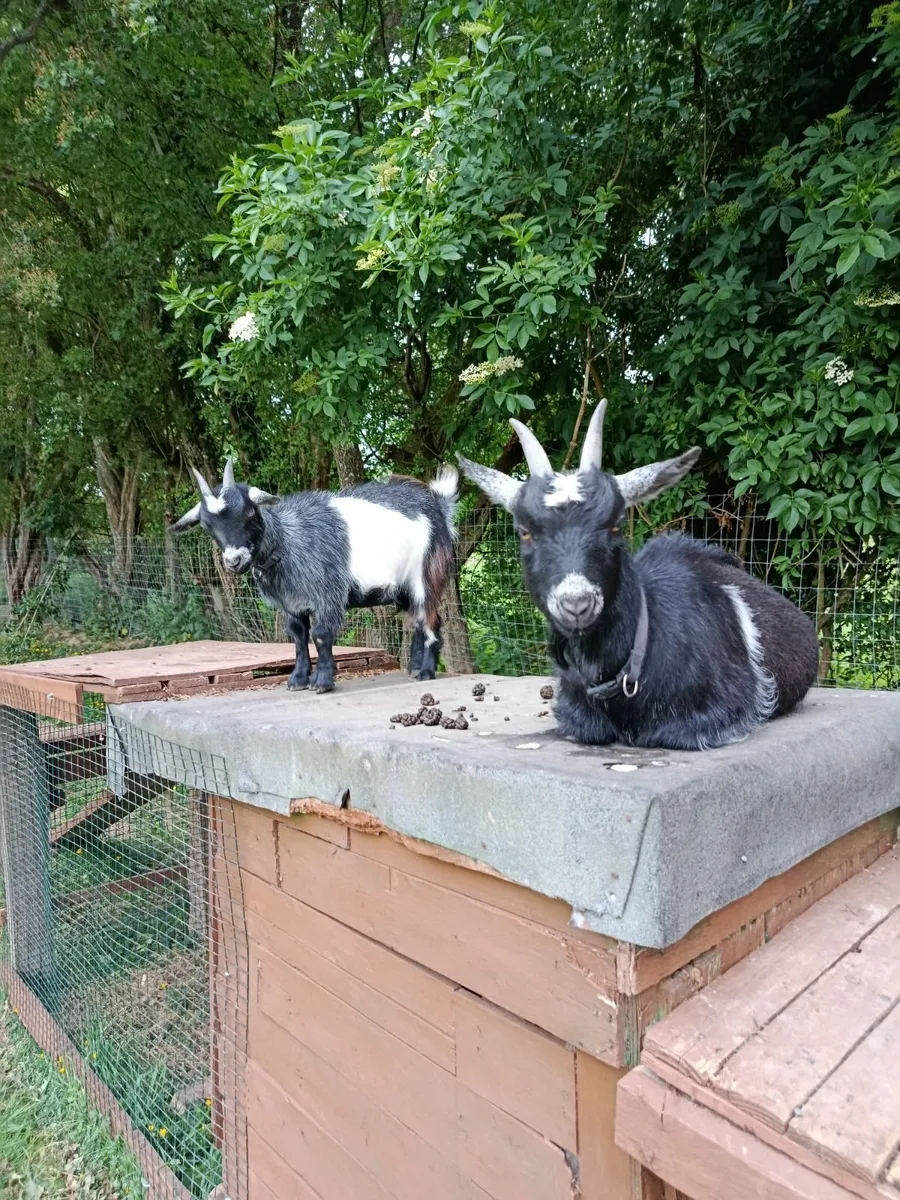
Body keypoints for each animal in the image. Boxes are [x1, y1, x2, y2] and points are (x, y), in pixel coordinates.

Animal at [170, 459, 458, 692]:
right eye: (207, 524)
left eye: (250, 511)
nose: (234, 561)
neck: (288, 542)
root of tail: (438, 507)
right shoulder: (291, 603)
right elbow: (298, 636)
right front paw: (297, 680)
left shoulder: (328, 593)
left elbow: (320, 634)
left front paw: (322, 683)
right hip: (404, 588)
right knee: (418, 620)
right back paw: (414, 668)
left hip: (426, 573)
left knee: (431, 619)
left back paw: (426, 672)